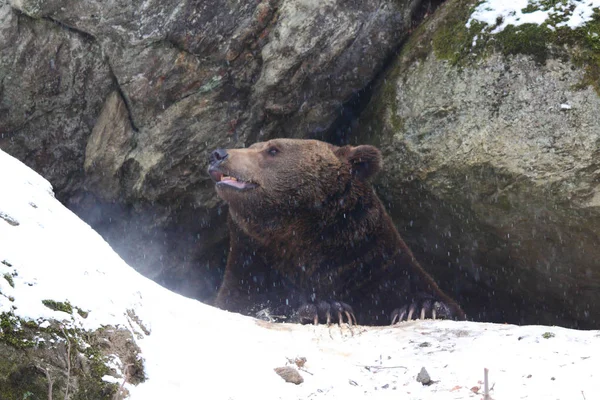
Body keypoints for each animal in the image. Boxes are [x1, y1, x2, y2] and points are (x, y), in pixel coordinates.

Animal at [209, 138, 466, 324]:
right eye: (253, 146)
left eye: (273, 150)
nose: (218, 154)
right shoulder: (253, 269)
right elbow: (246, 303)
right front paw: (325, 309)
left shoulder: (377, 265)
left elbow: (439, 301)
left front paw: (421, 307)